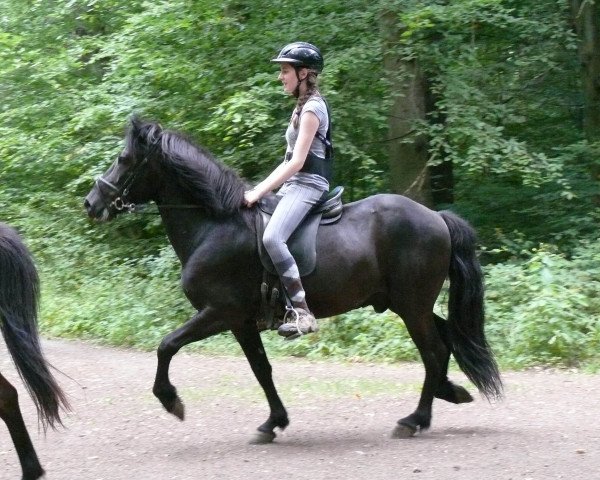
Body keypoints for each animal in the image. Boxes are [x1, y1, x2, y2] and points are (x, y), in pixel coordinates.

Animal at [82, 117, 500, 442]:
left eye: (124, 159)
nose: (91, 204)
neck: (215, 225)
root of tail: (436, 217)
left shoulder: (220, 313)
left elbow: (166, 346)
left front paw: (171, 400)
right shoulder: (241, 322)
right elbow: (261, 369)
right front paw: (273, 422)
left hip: (412, 307)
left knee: (433, 352)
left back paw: (415, 420)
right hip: (410, 305)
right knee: (446, 343)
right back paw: (449, 394)